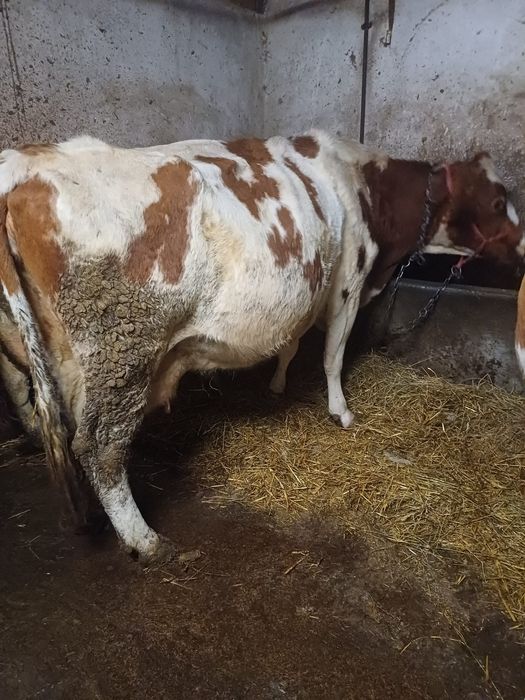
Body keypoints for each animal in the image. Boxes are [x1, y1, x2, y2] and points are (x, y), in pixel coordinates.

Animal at [0, 131, 523, 564]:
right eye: (500, 200)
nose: (522, 248)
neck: (364, 187)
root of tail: (22, 165)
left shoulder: (306, 291)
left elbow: (291, 345)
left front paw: (277, 384)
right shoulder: (348, 284)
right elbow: (332, 355)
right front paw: (340, 411)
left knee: (36, 408)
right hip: (121, 351)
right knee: (100, 447)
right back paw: (146, 541)